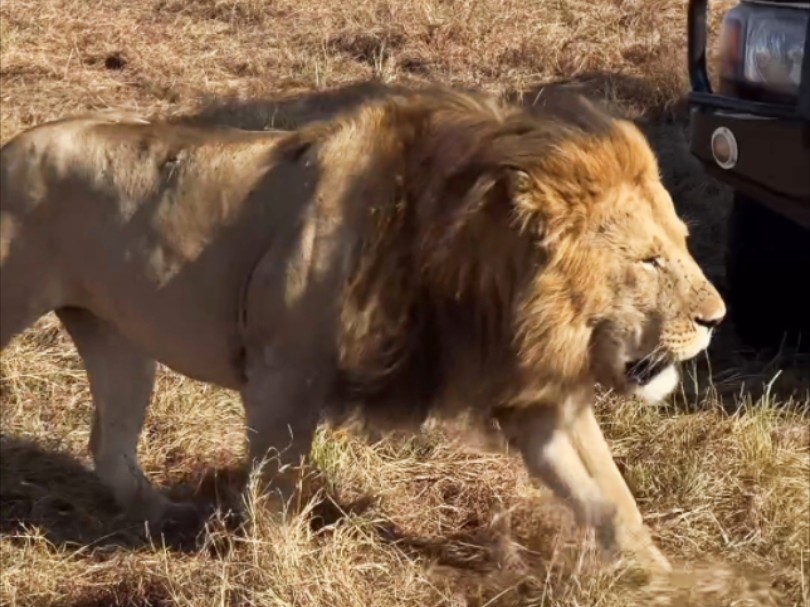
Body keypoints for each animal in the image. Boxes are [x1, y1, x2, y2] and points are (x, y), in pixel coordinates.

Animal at [0, 85, 724, 576]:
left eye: (683, 243)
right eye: (649, 260)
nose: (716, 320)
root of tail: (10, 146)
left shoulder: (537, 396)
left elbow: (611, 495)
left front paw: (663, 578)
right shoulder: (282, 372)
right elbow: (279, 486)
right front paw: (279, 569)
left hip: (115, 339)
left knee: (110, 444)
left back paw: (165, 516)